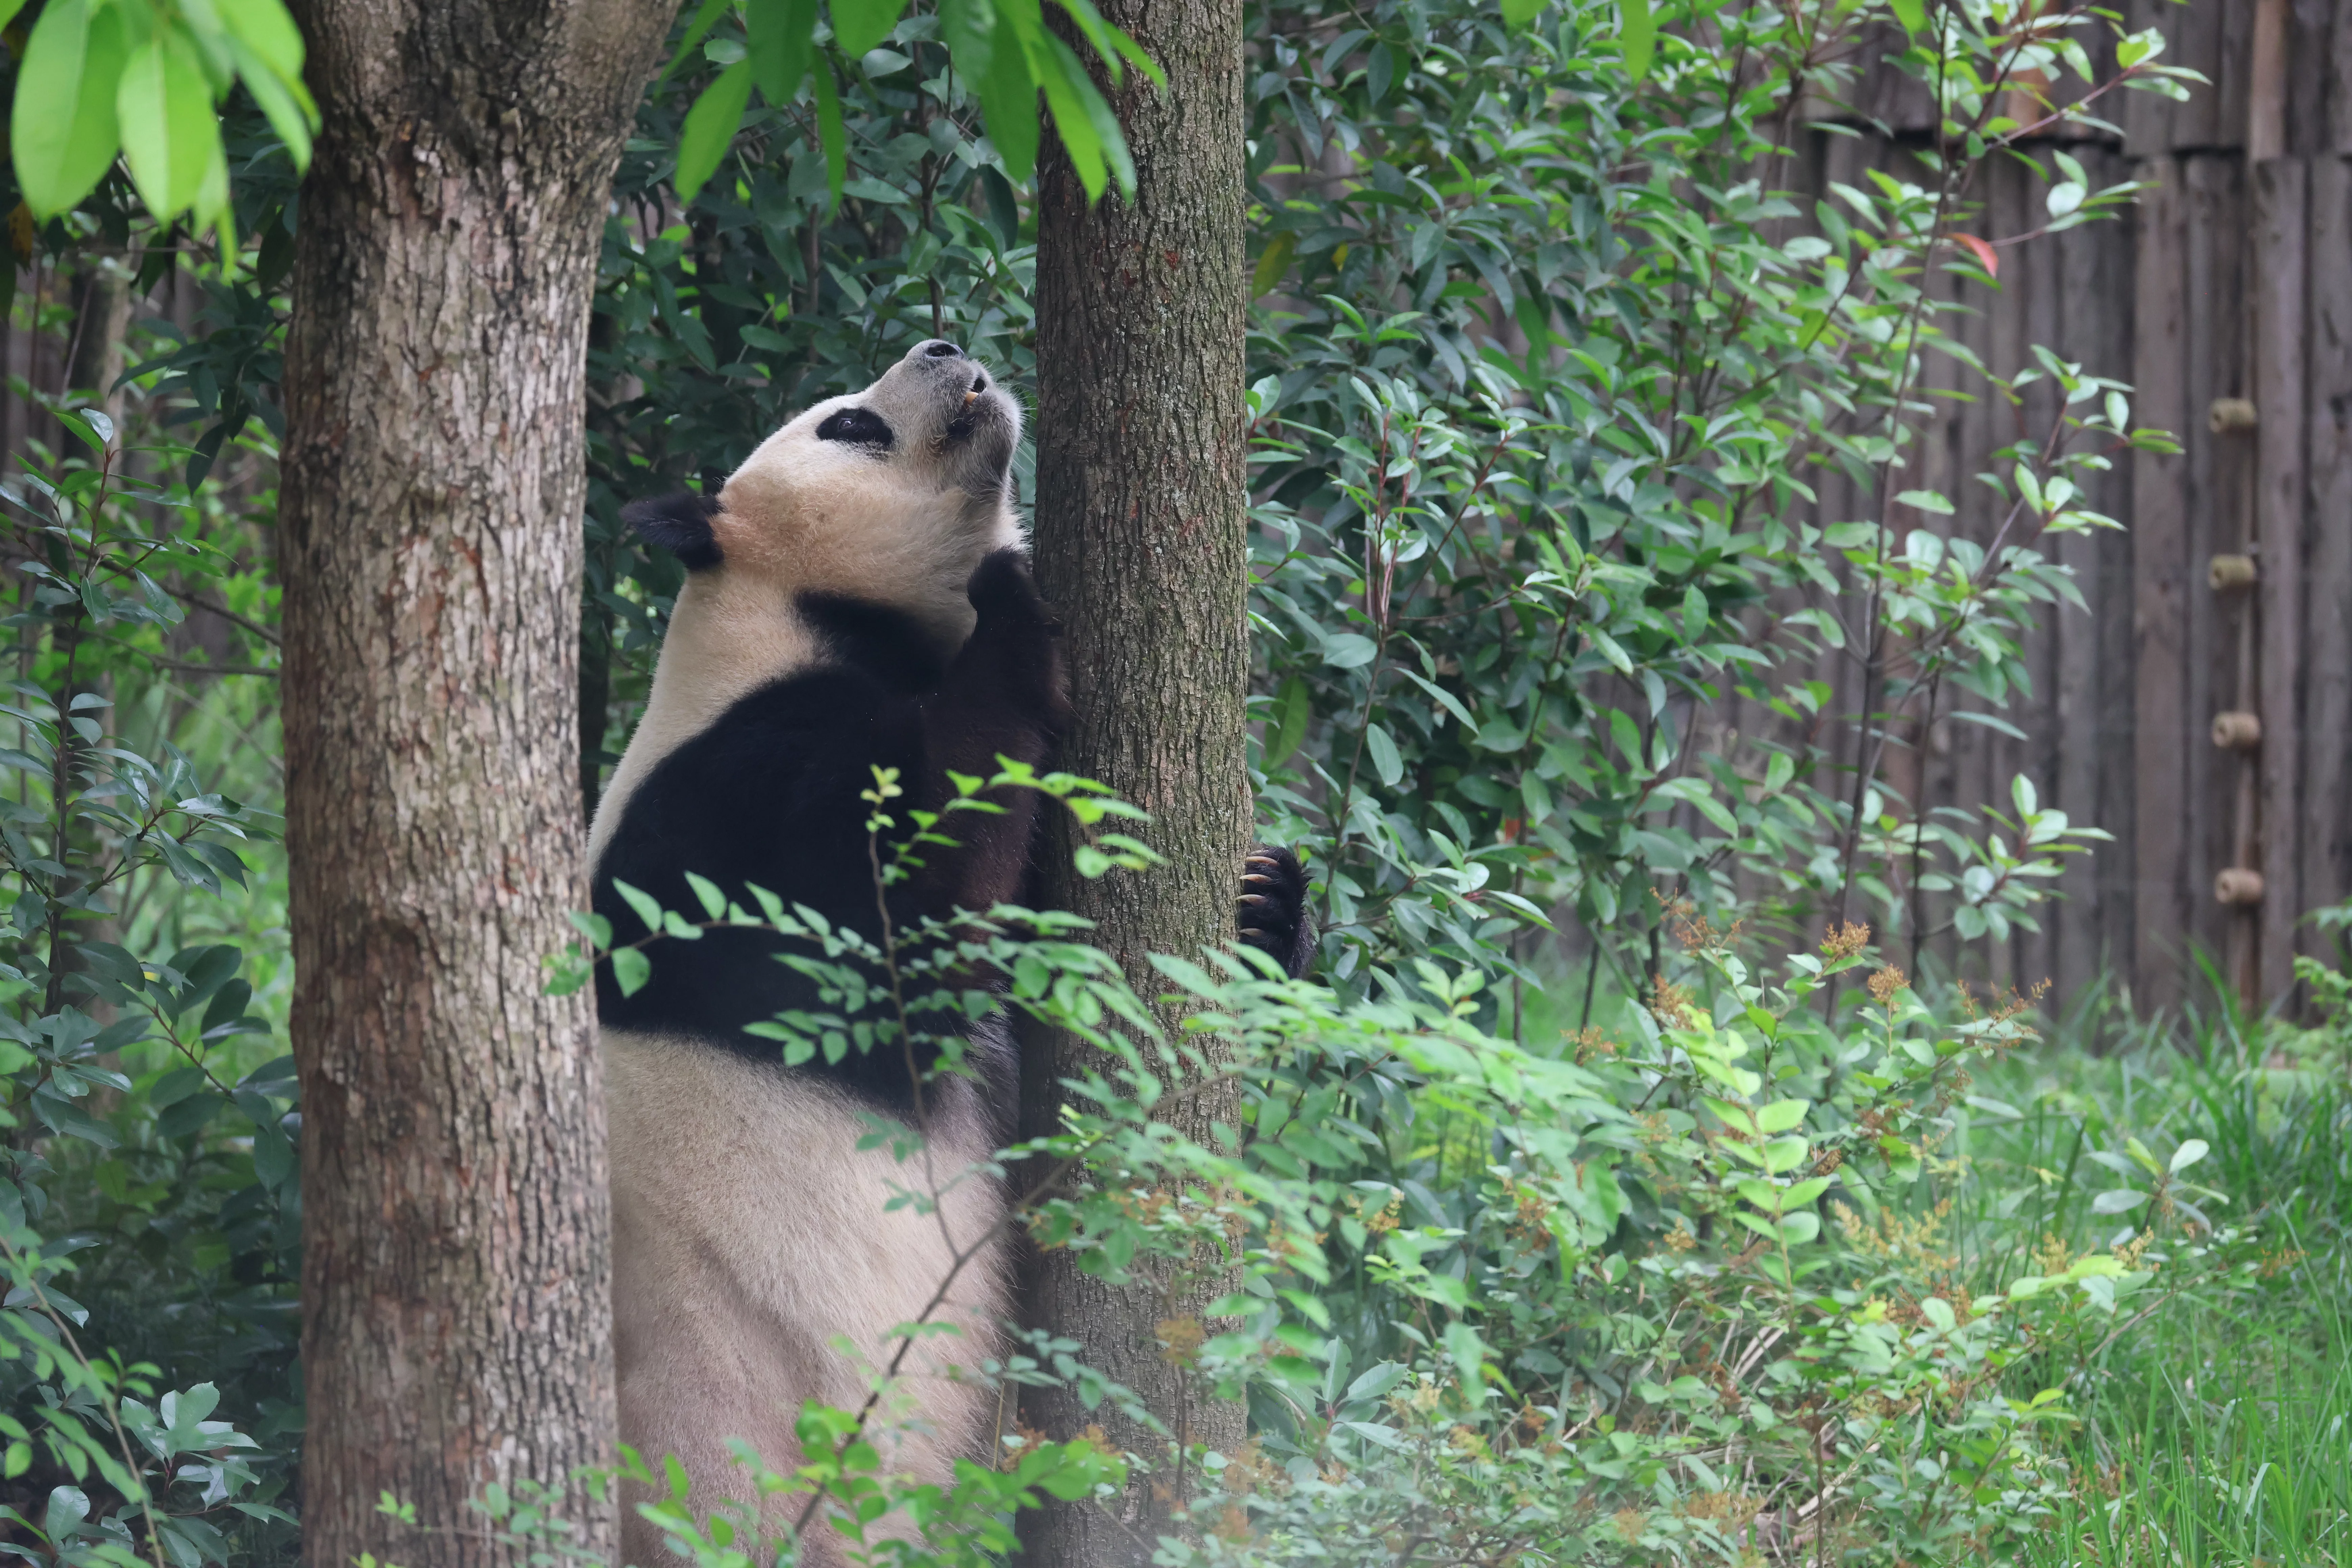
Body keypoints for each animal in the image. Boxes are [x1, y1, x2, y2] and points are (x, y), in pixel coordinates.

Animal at [589, 337, 1315, 1568]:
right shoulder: (740, 807)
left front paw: (1268, 903)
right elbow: (912, 913)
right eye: (849, 424)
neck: (798, 611)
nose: (944, 349)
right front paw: (1011, 603)